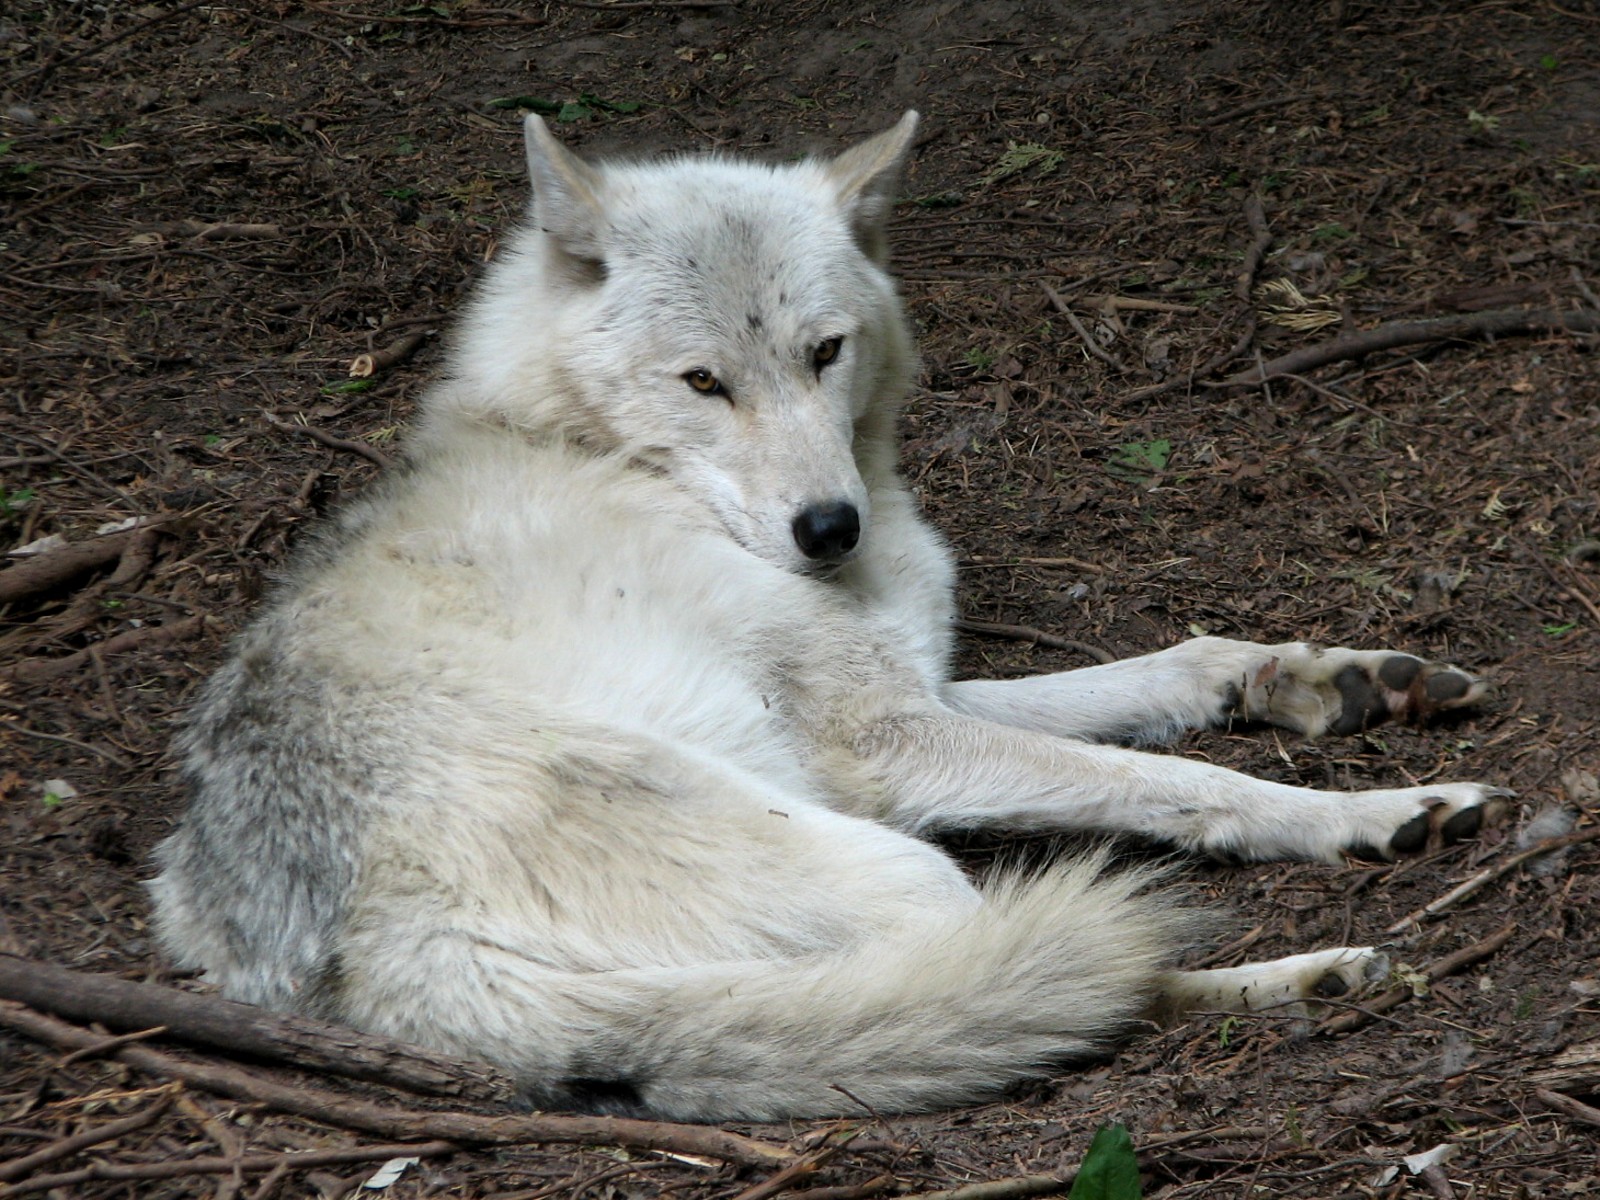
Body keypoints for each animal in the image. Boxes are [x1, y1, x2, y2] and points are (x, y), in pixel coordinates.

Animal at [149, 112, 1505, 1122]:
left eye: (824, 352)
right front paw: (1365, 812)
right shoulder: (888, 743)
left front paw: (1335, 680)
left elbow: (1173, 667)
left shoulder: (924, 688)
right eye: (703, 382)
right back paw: (1306, 975)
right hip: (899, 867)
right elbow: (1175, 782)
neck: (603, 457)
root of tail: (361, 973)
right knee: (1076, 976)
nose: (827, 529)